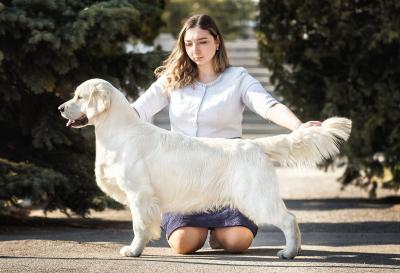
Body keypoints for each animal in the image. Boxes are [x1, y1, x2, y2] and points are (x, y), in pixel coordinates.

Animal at [57, 78, 352, 258]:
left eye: (79, 96)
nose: (59, 108)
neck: (119, 131)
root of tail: (255, 145)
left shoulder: (139, 194)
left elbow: (138, 226)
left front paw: (133, 250)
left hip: (257, 199)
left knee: (289, 220)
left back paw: (289, 253)